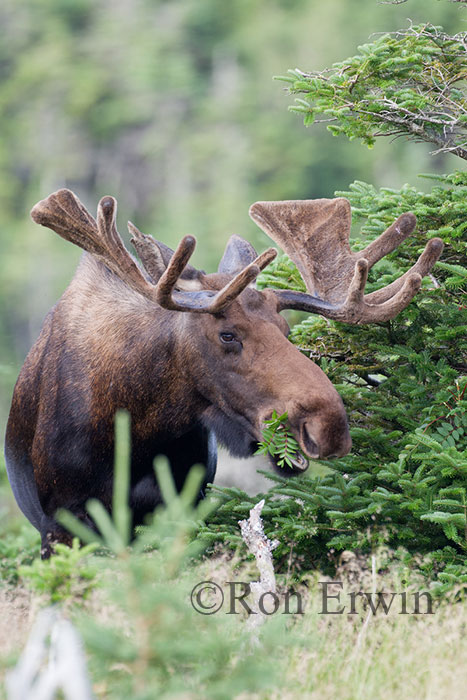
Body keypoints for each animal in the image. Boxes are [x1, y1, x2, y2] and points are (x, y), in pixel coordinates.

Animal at [3, 189, 444, 556]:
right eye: (227, 334)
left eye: (286, 331)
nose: (329, 424)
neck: (134, 428)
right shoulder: (61, 523)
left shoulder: (182, 506)